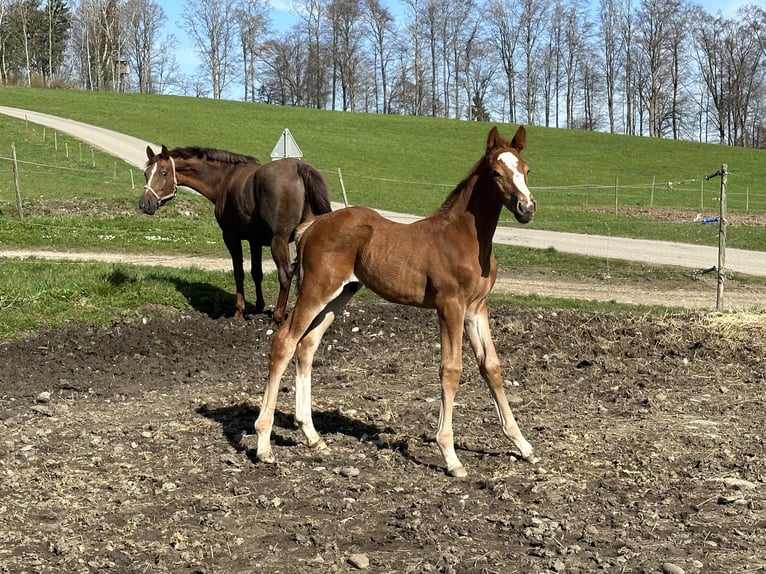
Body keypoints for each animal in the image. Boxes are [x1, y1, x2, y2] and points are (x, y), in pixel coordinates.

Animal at [141, 145, 332, 324]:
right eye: (146, 173)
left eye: (163, 173)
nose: (144, 204)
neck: (225, 178)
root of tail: (298, 167)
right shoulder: (255, 241)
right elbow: (256, 272)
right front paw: (258, 306)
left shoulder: (231, 237)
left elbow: (238, 272)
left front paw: (239, 311)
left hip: (279, 241)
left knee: (285, 275)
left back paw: (277, 317)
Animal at [255, 127, 536, 482]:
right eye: (497, 173)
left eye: (527, 170)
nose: (527, 208)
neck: (467, 238)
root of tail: (313, 225)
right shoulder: (450, 306)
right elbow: (451, 370)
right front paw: (450, 456)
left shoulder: (477, 308)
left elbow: (492, 367)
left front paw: (523, 445)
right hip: (316, 290)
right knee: (284, 342)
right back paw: (263, 444)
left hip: (340, 295)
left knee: (307, 346)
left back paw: (312, 435)